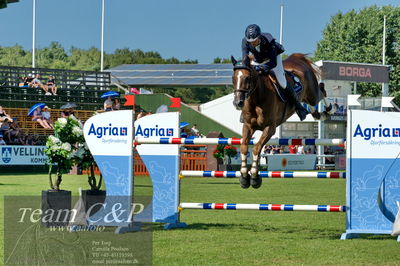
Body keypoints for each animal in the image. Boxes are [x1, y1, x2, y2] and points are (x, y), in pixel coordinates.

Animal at [230, 52, 332, 189]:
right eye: (233, 78)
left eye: (247, 78)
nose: (238, 103)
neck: (257, 98)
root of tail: (297, 58)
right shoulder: (248, 126)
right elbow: (244, 148)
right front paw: (244, 177)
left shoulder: (270, 128)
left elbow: (256, 148)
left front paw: (255, 178)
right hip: (307, 97)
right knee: (313, 106)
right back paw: (315, 113)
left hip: (312, 94)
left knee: (321, 91)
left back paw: (329, 110)